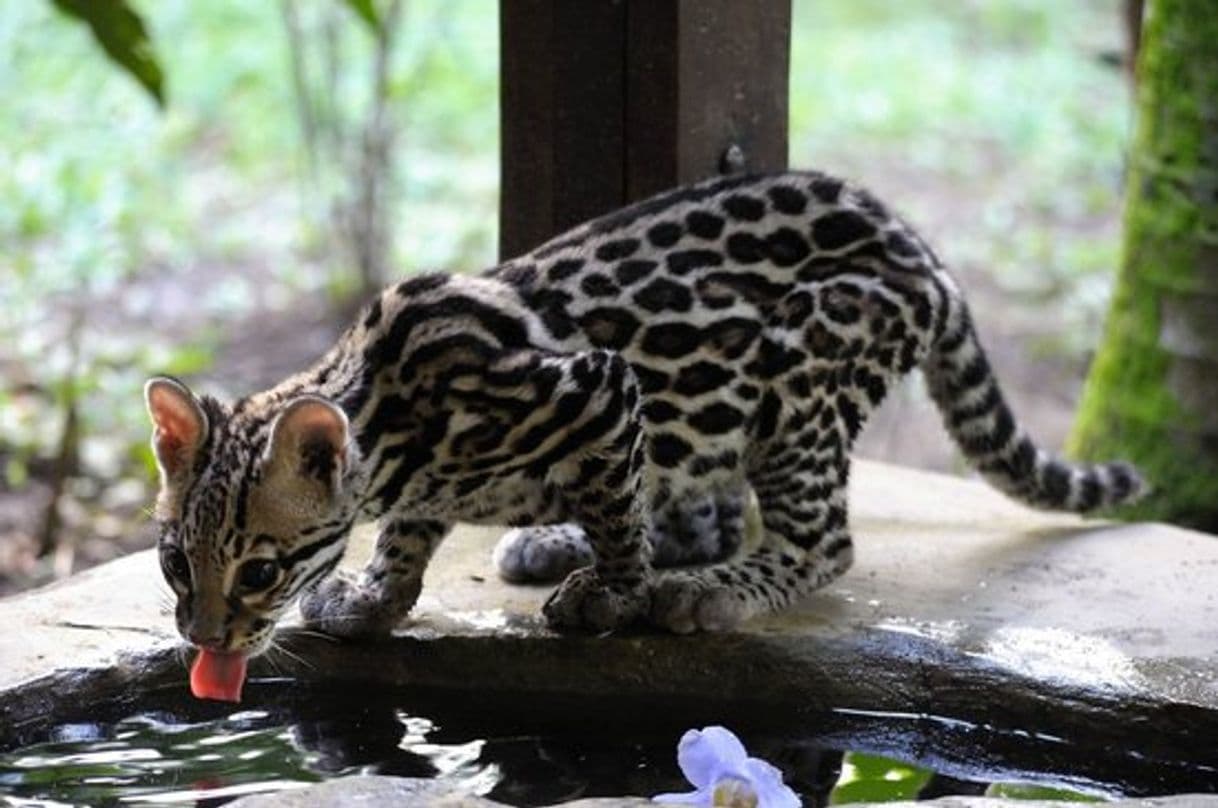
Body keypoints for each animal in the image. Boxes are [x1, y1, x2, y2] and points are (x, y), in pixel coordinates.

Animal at [147, 166, 1144, 667]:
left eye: (261, 571)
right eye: (173, 562)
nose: (203, 640)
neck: (390, 420)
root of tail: (921, 247)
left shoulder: (600, 388)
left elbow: (618, 514)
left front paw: (612, 593)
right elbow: (407, 540)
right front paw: (375, 600)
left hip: (803, 363)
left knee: (821, 542)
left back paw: (710, 586)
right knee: (700, 504)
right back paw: (567, 539)